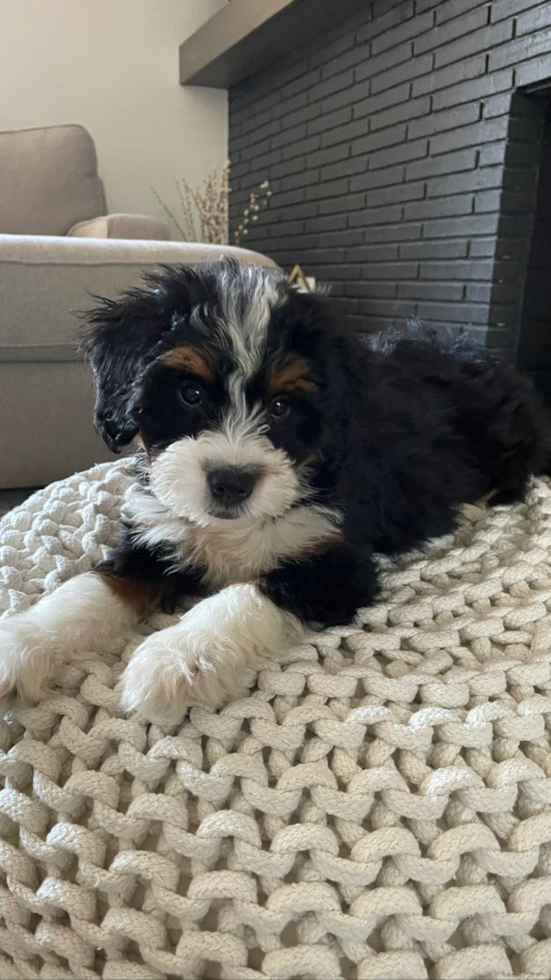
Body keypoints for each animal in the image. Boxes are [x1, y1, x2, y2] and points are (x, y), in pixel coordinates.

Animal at [1, 260, 551, 720]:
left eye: (283, 407)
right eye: (190, 393)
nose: (231, 482)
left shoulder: (335, 561)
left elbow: (248, 594)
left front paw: (176, 656)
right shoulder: (153, 536)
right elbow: (90, 589)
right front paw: (22, 643)